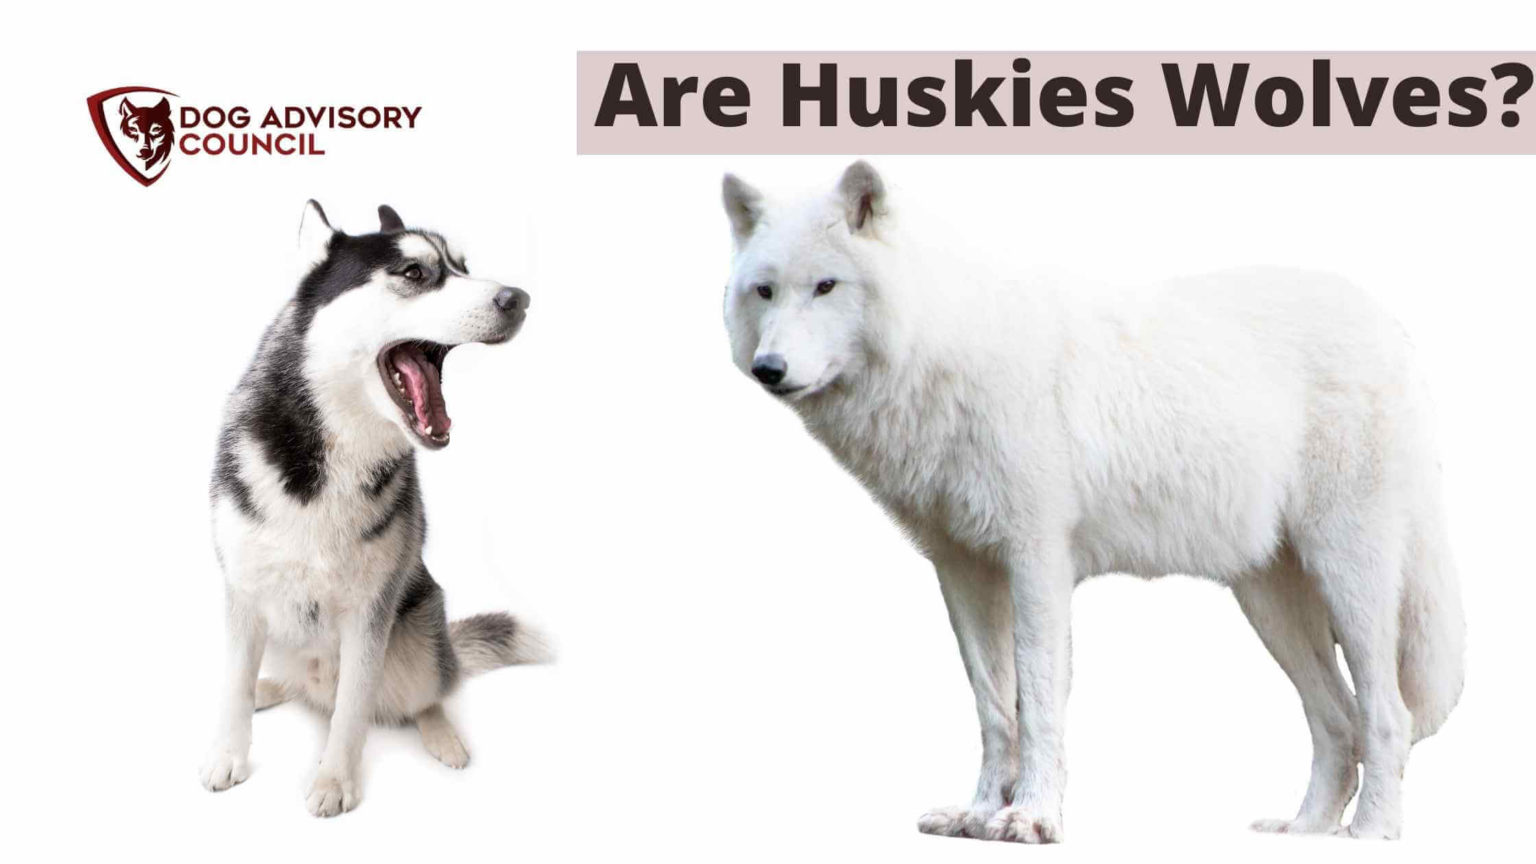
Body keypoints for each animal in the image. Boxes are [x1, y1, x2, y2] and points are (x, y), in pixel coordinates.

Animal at [200, 201, 544, 817]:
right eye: (413, 272)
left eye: (462, 267)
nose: (519, 298)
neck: (331, 457)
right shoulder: (242, 590)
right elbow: (234, 683)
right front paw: (228, 755)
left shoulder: (369, 613)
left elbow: (352, 711)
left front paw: (334, 779)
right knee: (295, 681)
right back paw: (273, 687)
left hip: (421, 636)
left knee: (427, 693)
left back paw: (443, 734)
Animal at [720, 162, 1464, 842]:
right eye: (765, 290)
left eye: (826, 286)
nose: (768, 370)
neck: (943, 350)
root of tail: (1391, 326)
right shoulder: (962, 569)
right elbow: (994, 706)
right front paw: (979, 814)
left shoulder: (1038, 561)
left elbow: (1040, 698)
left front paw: (1032, 818)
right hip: (1269, 602)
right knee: (1337, 721)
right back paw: (1305, 829)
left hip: (1349, 579)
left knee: (1386, 714)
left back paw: (1372, 833)